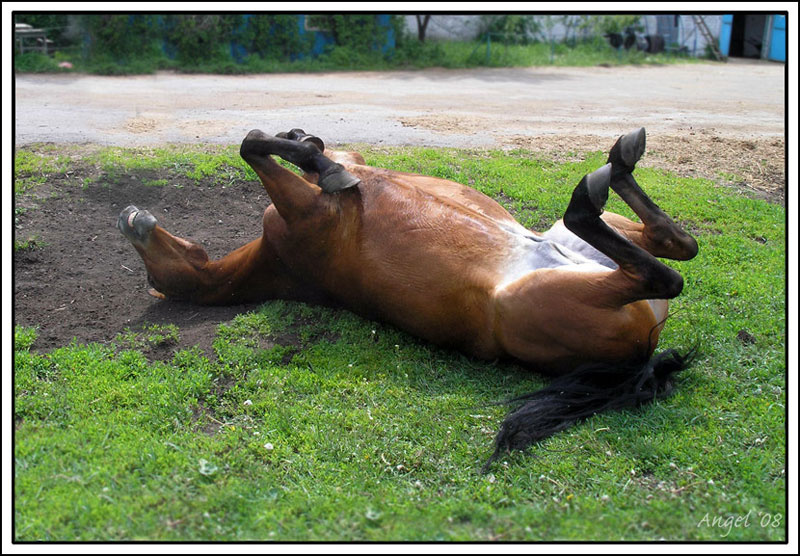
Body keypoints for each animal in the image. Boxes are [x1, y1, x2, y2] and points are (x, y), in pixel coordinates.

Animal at [118, 127, 698, 467]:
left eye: (151, 262)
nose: (128, 217)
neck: (279, 262)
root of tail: (643, 356)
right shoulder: (305, 210)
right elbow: (256, 145)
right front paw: (320, 159)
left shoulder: (316, 191)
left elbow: (275, 145)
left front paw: (311, 146)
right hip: (539, 295)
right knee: (665, 269)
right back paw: (599, 180)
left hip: (584, 245)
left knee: (676, 247)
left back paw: (618, 160)